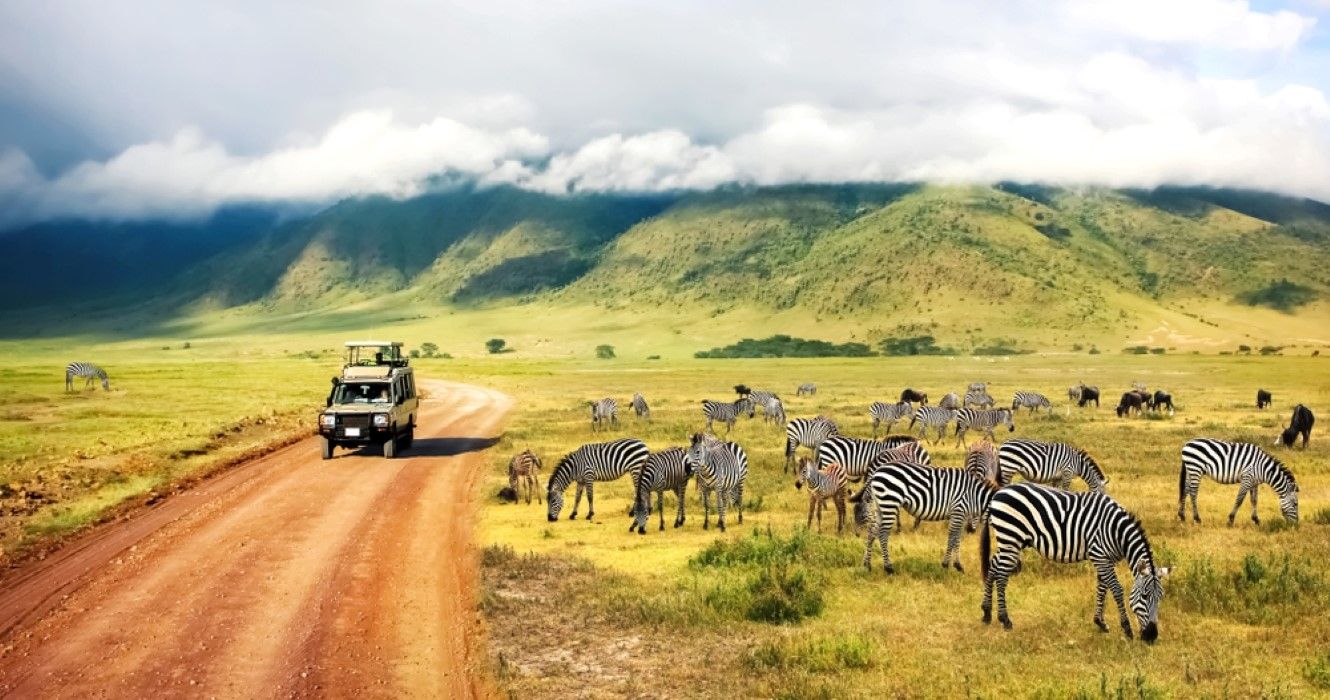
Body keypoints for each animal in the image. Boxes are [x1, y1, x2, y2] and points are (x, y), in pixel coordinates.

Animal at [861, 455, 1000, 577]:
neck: (975, 495)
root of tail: (876, 472)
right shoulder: (958, 510)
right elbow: (952, 537)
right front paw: (945, 564)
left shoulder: (962, 515)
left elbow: (957, 538)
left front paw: (958, 565)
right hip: (890, 502)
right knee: (883, 534)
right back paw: (888, 568)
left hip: (880, 506)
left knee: (872, 532)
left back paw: (867, 565)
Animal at [978, 487, 1175, 644]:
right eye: (1144, 596)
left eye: (1161, 597)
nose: (1151, 636)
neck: (1117, 532)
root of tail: (996, 495)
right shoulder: (1099, 555)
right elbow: (1116, 590)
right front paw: (1126, 629)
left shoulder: (1104, 559)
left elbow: (1102, 588)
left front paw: (1100, 622)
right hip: (1010, 537)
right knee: (1002, 576)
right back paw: (1005, 619)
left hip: (1010, 541)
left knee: (993, 566)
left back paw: (987, 613)